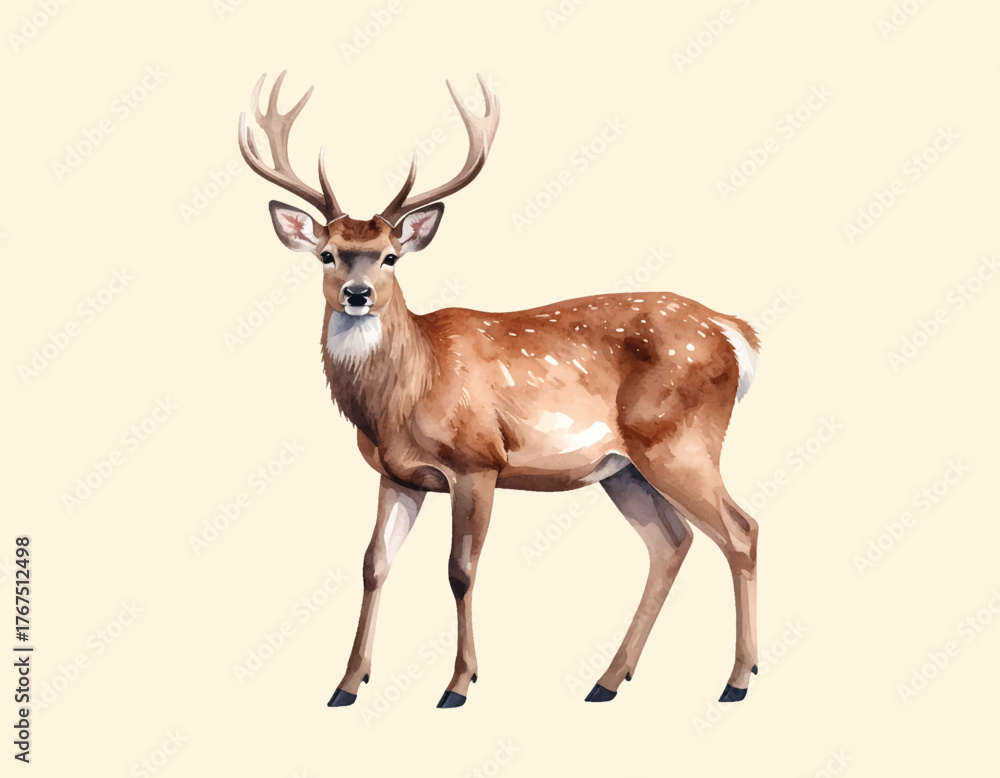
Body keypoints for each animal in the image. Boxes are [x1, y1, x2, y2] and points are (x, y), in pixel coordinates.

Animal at [238, 72, 762, 709]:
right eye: (327, 253)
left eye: (390, 257)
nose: (357, 294)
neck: (405, 393)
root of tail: (736, 334)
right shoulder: (396, 475)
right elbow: (373, 564)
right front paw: (346, 684)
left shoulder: (478, 461)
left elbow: (460, 570)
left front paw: (459, 684)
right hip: (623, 467)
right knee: (671, 542)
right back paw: (608, 681)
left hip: (680, 441)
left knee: (740, 530)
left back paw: (737, 680)